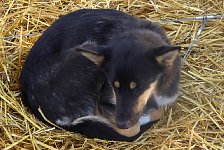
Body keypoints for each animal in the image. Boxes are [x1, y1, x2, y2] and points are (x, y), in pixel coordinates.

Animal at [19, 8, 182, 142]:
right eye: (114, 86)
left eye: (137, 87)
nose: (121, 124)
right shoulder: (106, 103)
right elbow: (135, 126)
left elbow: (157, 111)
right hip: (86, 58)